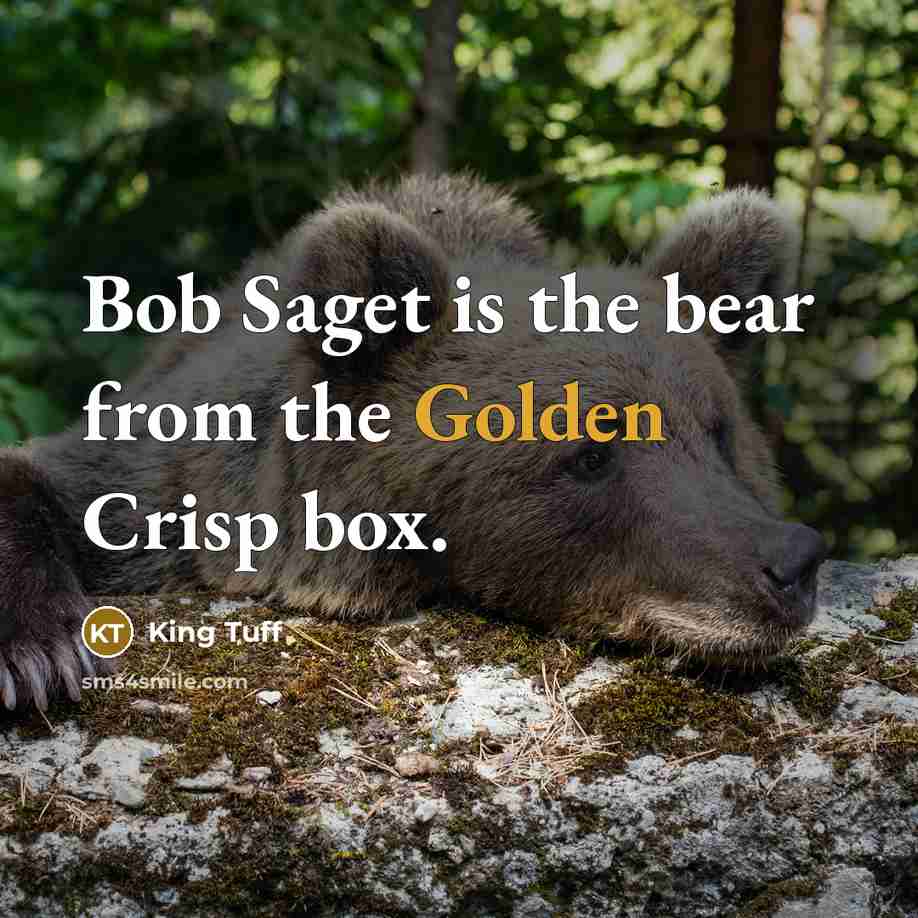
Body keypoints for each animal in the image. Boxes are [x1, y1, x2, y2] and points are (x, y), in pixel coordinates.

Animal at [0, 173, 827, 712]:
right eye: (591, 451)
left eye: (717, 433)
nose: (790, 561)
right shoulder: (166, 477)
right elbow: (53, 478)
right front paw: (38, 654)